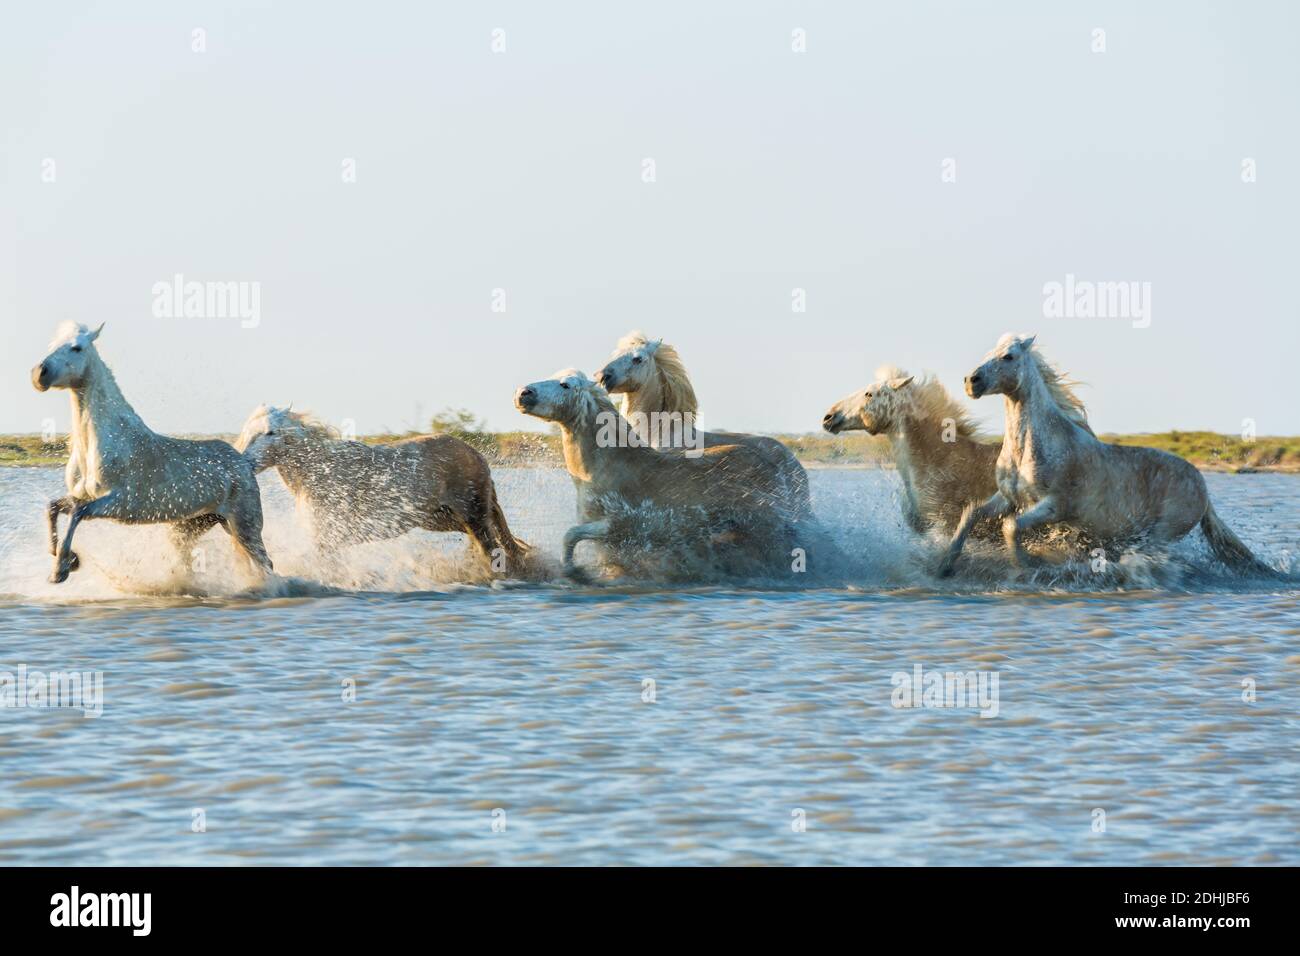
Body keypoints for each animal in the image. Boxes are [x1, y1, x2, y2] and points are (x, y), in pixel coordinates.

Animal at [29, 325, 271, 587]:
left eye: (76, 347)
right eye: (53, 344)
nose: (39, 374)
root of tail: (244, 462)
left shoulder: (118, 503)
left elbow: (76, 513)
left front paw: (60, 570)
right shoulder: (82, 496)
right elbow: (52, 507)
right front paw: (68, 559)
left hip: (244, 526)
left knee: (266, 563)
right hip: (203, 525)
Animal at [941, 332, 1274, 580]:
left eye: (1008, 356)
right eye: (989, 352)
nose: (972, 381)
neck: (1029, 448)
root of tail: (1203, 488)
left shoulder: (1054, 506)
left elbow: (1011, 527)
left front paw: (1026, 566)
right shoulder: (1009, 498)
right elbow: (972, 513)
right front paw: (944, 564)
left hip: (1161, 534)